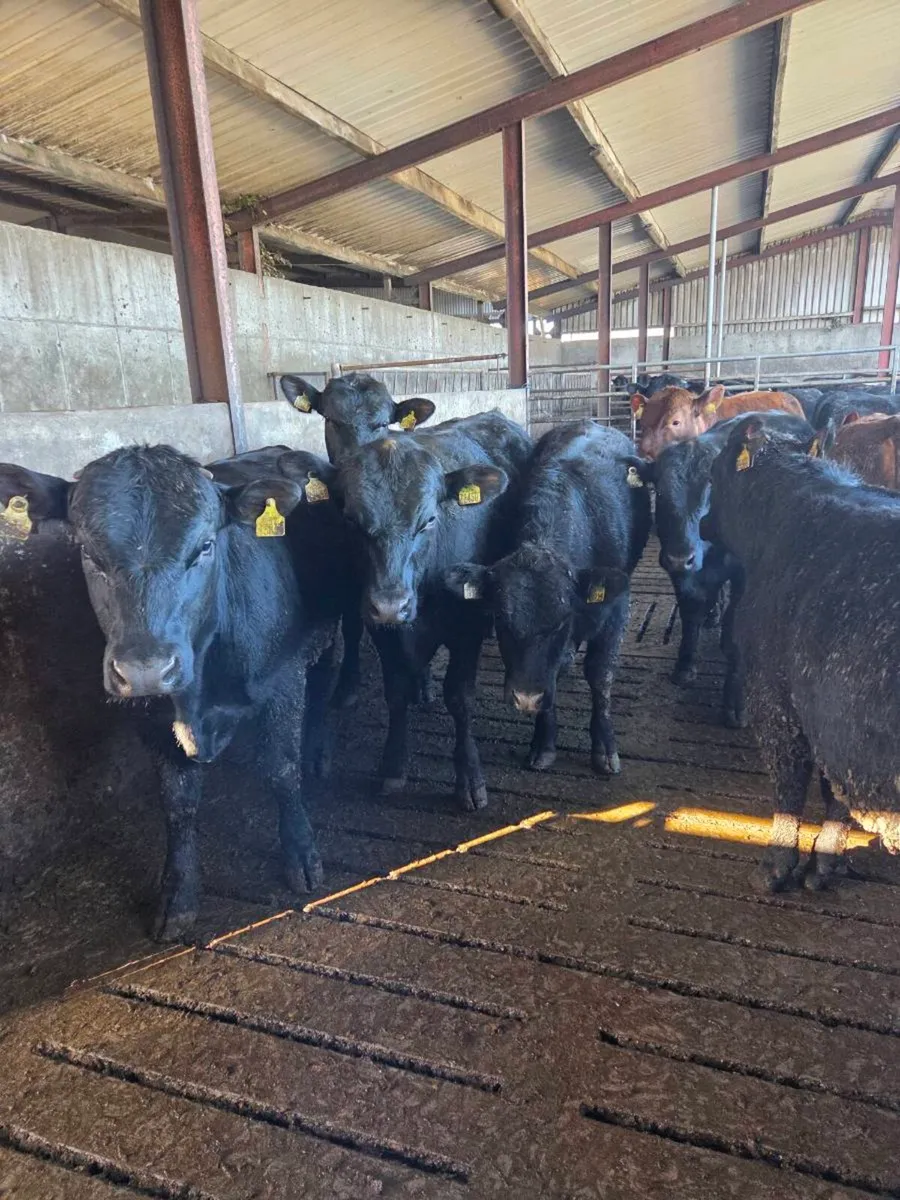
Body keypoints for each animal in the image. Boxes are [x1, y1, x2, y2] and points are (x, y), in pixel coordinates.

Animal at [0, 446, 339, 941]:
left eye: (205, 546)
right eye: (88, 551)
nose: (145, 669)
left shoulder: (283, 680)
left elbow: (281, 770)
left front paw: (301, 855)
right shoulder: (150, 718)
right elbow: (177, 804)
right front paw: (178, 897)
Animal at [277, 410, 532, 810]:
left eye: (428, 520)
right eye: (351, 519)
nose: (390, 605)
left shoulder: (467, 628)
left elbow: (460, 698)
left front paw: (469, 776)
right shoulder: (383, 632)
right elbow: (395, 693)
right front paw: (393, 765)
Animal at [446, 422, 651, 776]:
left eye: (562, 621)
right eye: (501, 619)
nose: (526, 698)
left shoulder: (615, 611)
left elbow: (601, 675)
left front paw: (605, 747)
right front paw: (543, 744)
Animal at [704, 416, 900, 892]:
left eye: (713, 475)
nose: (702, 525)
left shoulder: (774, 698)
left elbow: (790, 782)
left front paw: (776, 864)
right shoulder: (835, 722)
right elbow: (835, 796)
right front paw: (827, 861)